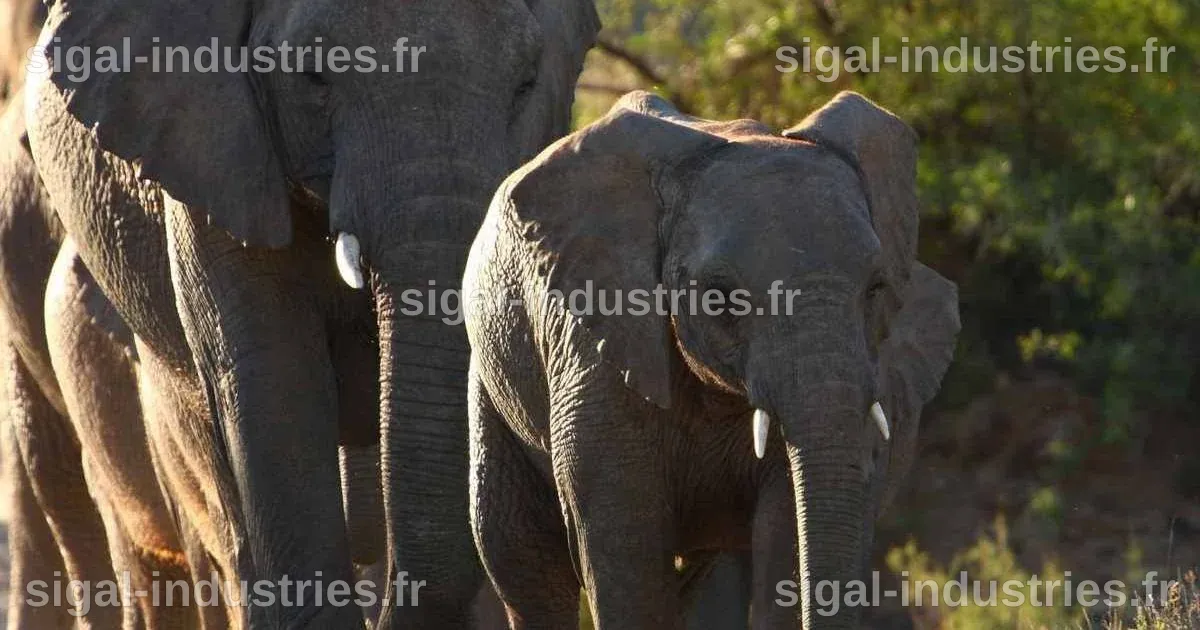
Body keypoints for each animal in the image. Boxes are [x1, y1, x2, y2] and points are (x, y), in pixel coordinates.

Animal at [462, 91, 961, 628]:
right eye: (723, 298)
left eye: (876, 289)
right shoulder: (597, 354)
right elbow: (623, 549)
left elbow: (786, 528)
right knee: (522, 558)